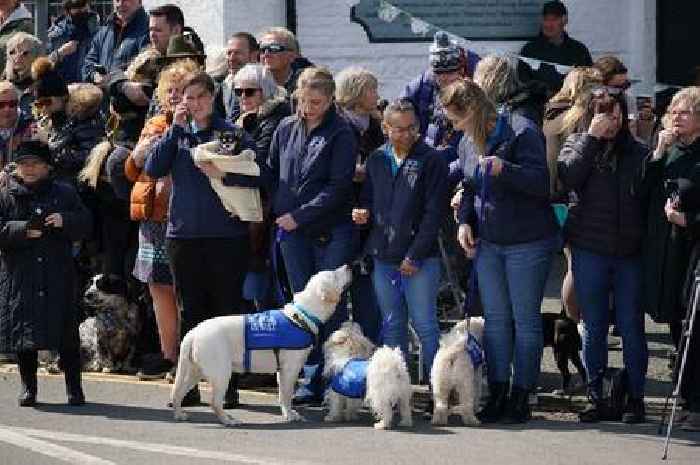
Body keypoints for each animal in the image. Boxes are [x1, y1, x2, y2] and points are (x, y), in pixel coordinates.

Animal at [171, 262, 356, 426]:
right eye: (334, 274)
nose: (349, 265)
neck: (302, 316)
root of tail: (194, 332)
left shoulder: (281, 371)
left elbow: (282, 396)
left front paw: (288, 413)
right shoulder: (290, 369)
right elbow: (287, 395)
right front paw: (290, 416)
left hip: (194, 371)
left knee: (177, 393)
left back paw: (180, 415)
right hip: (221, 372)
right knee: (214, 402)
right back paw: (229, 421)